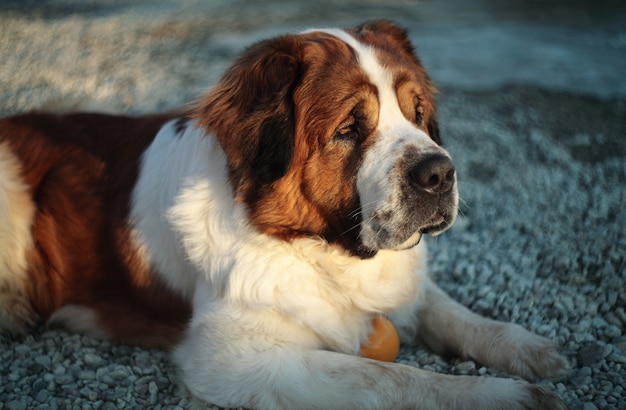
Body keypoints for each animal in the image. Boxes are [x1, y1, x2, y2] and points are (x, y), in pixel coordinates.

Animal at [0, 20, 564, 410]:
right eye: (349, 129)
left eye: (418, 113)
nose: (440, 174)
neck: (313, 247)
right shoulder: (230, 357)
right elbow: (389, 377)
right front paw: (503, 396)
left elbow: (450, 312)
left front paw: (532, 349)